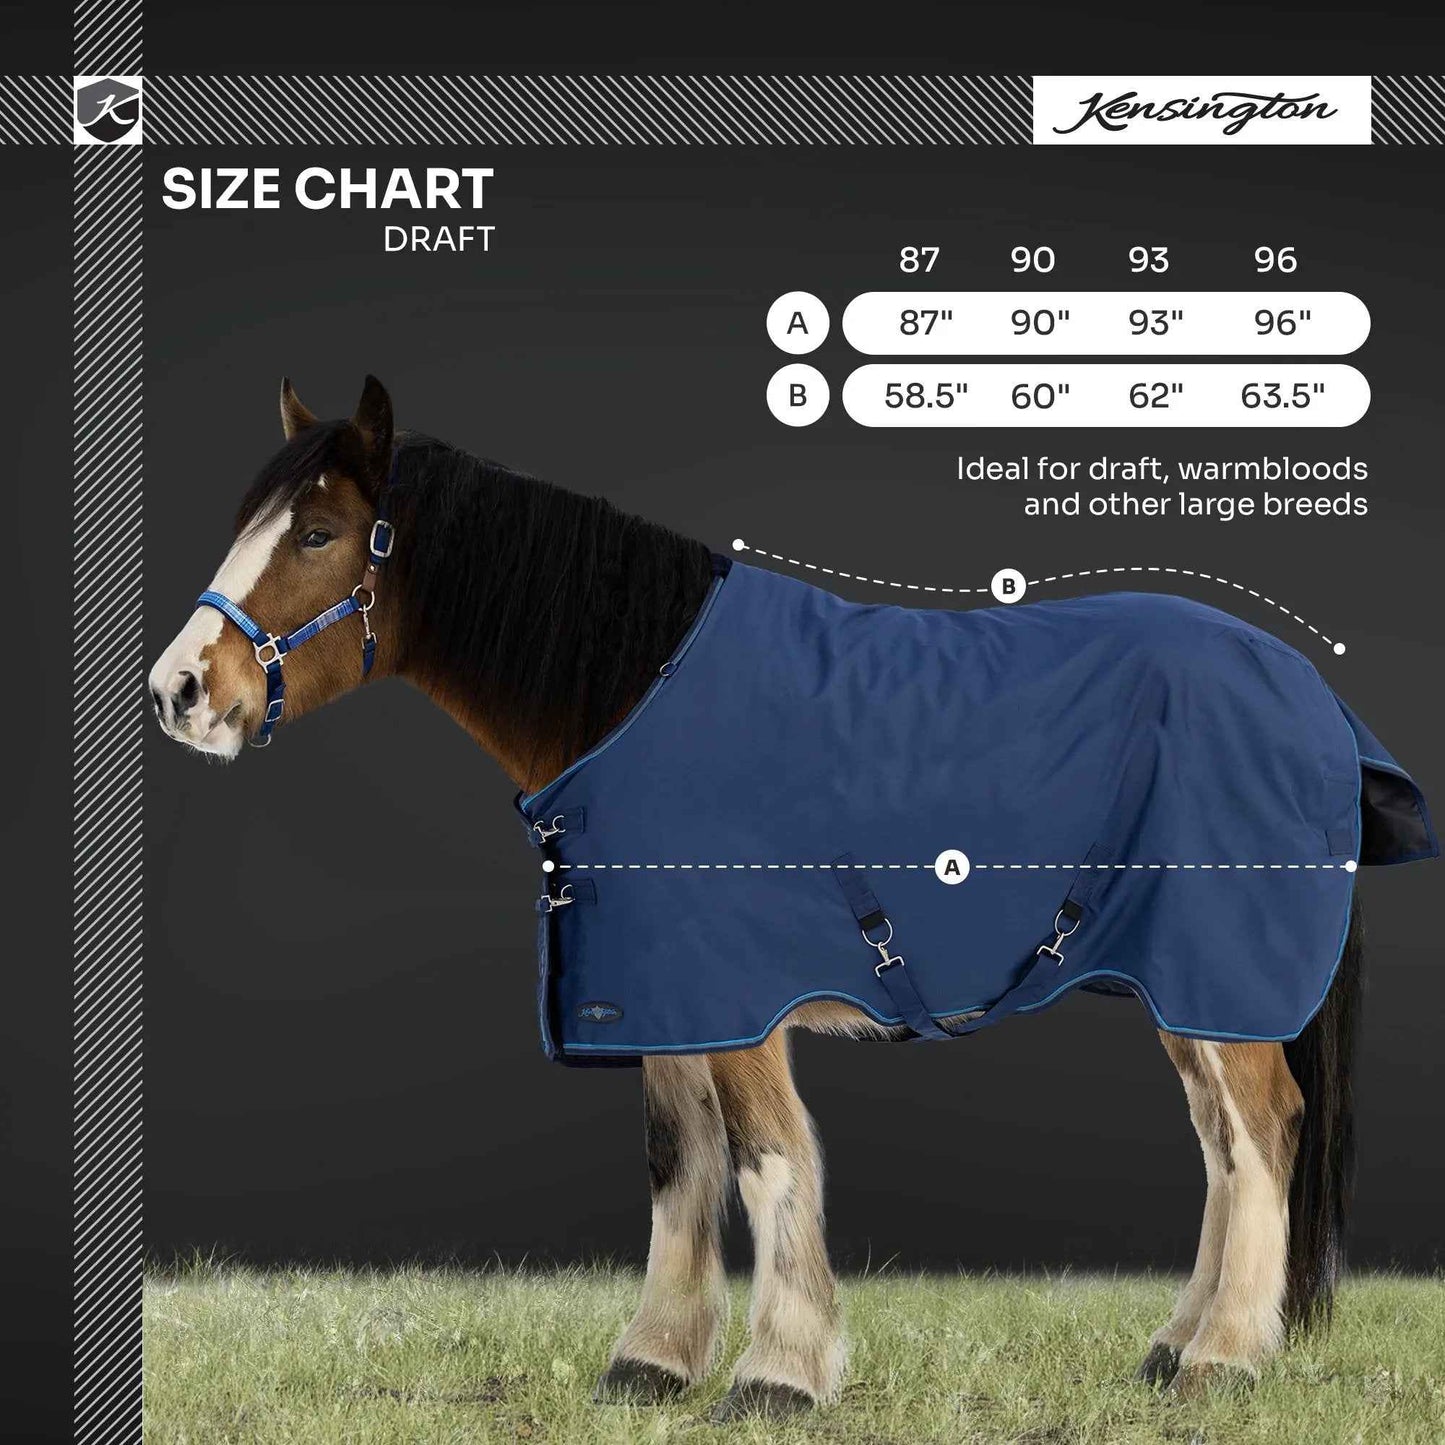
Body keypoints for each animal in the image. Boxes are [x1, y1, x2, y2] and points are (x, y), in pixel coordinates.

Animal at [149, 375, 1400, 1421]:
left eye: (317, 533)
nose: (178, 690)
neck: (637, 695)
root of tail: (1312, 699)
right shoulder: (659, 985)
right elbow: (678, 1157)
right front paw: (651, 1358)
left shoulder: (739, 990)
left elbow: (767, 1156)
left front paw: (778, 1371)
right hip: (1179, 978)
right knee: (1220, 1140)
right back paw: (1173, 1341)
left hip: (1214, 971)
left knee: (1261, 1127)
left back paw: (1224, 1356)